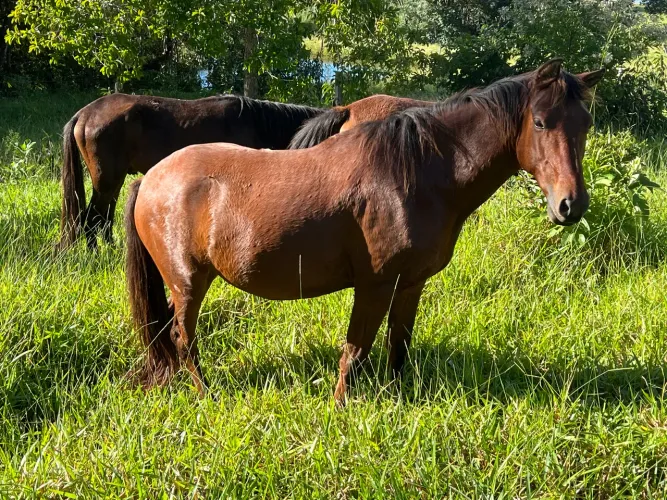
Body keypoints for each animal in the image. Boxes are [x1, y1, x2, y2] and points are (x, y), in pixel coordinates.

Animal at [59, 94, 323, 249]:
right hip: (107, 180)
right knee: (92, 217)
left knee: (103, 217)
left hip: (113, 180)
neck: (256, 124)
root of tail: (85, 114)